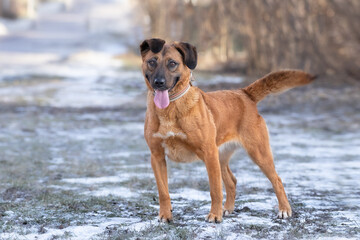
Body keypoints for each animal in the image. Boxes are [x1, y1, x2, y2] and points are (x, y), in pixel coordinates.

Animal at [139, 38, 314, 223]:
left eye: (172, 63)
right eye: (152, 62)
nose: (159, 83)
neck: (170, 109)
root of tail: (244, 94)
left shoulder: (208, 154)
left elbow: (215, 190)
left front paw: (214, 215)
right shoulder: (157, 157)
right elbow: (163, 192)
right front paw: (165, 215)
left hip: (257, 153)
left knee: (277, 180)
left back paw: (284, 209)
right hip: (221, 157)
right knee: (232, 181)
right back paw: (228, 209)